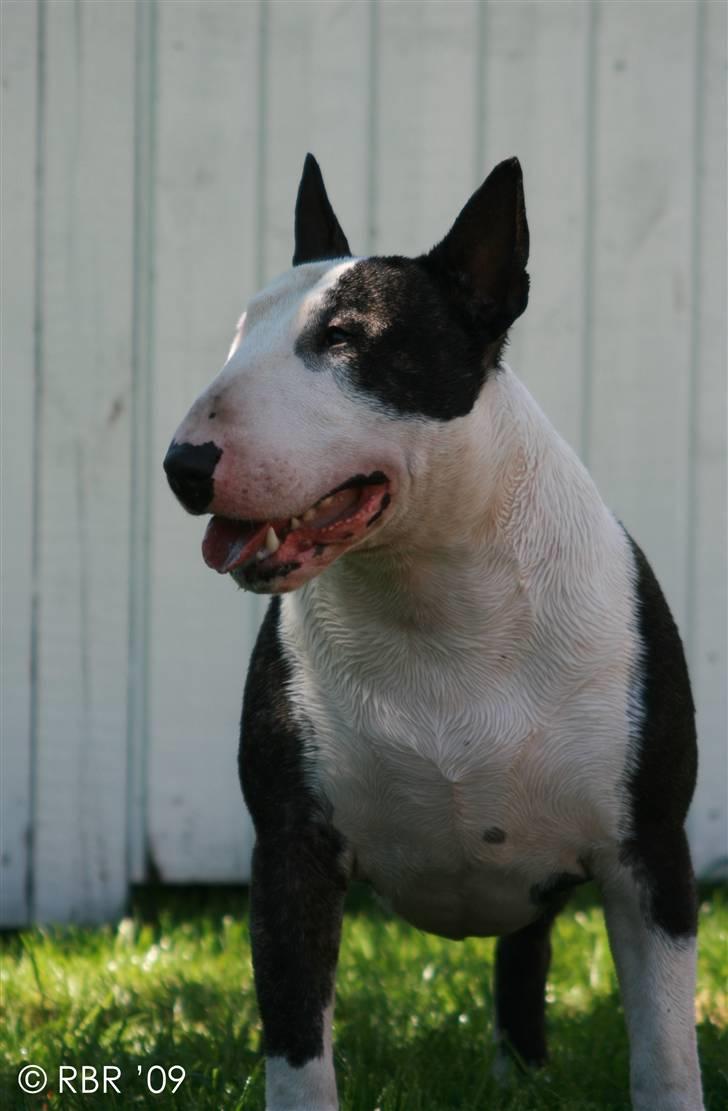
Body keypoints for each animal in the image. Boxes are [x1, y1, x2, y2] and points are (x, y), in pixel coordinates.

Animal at [162, 152, 702, 1106]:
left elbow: (666, 1050)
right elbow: (296, 1041)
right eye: (240, 333)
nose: (184, 466)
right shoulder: (291, 848)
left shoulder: (650, 854)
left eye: (346, 338)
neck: (435, 596)